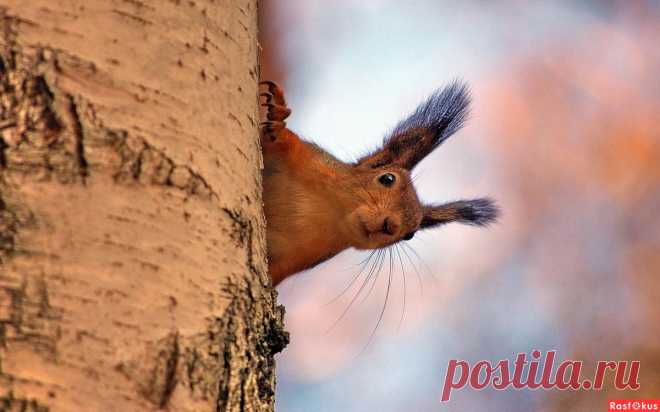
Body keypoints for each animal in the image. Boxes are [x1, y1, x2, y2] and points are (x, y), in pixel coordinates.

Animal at [260, 80, 498, 286]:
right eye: (387, 178)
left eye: (410, 235)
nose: (390, 225)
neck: (329, 215)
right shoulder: (310, 159)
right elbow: (277, 140)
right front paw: (278, 118)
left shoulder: (294, 261)